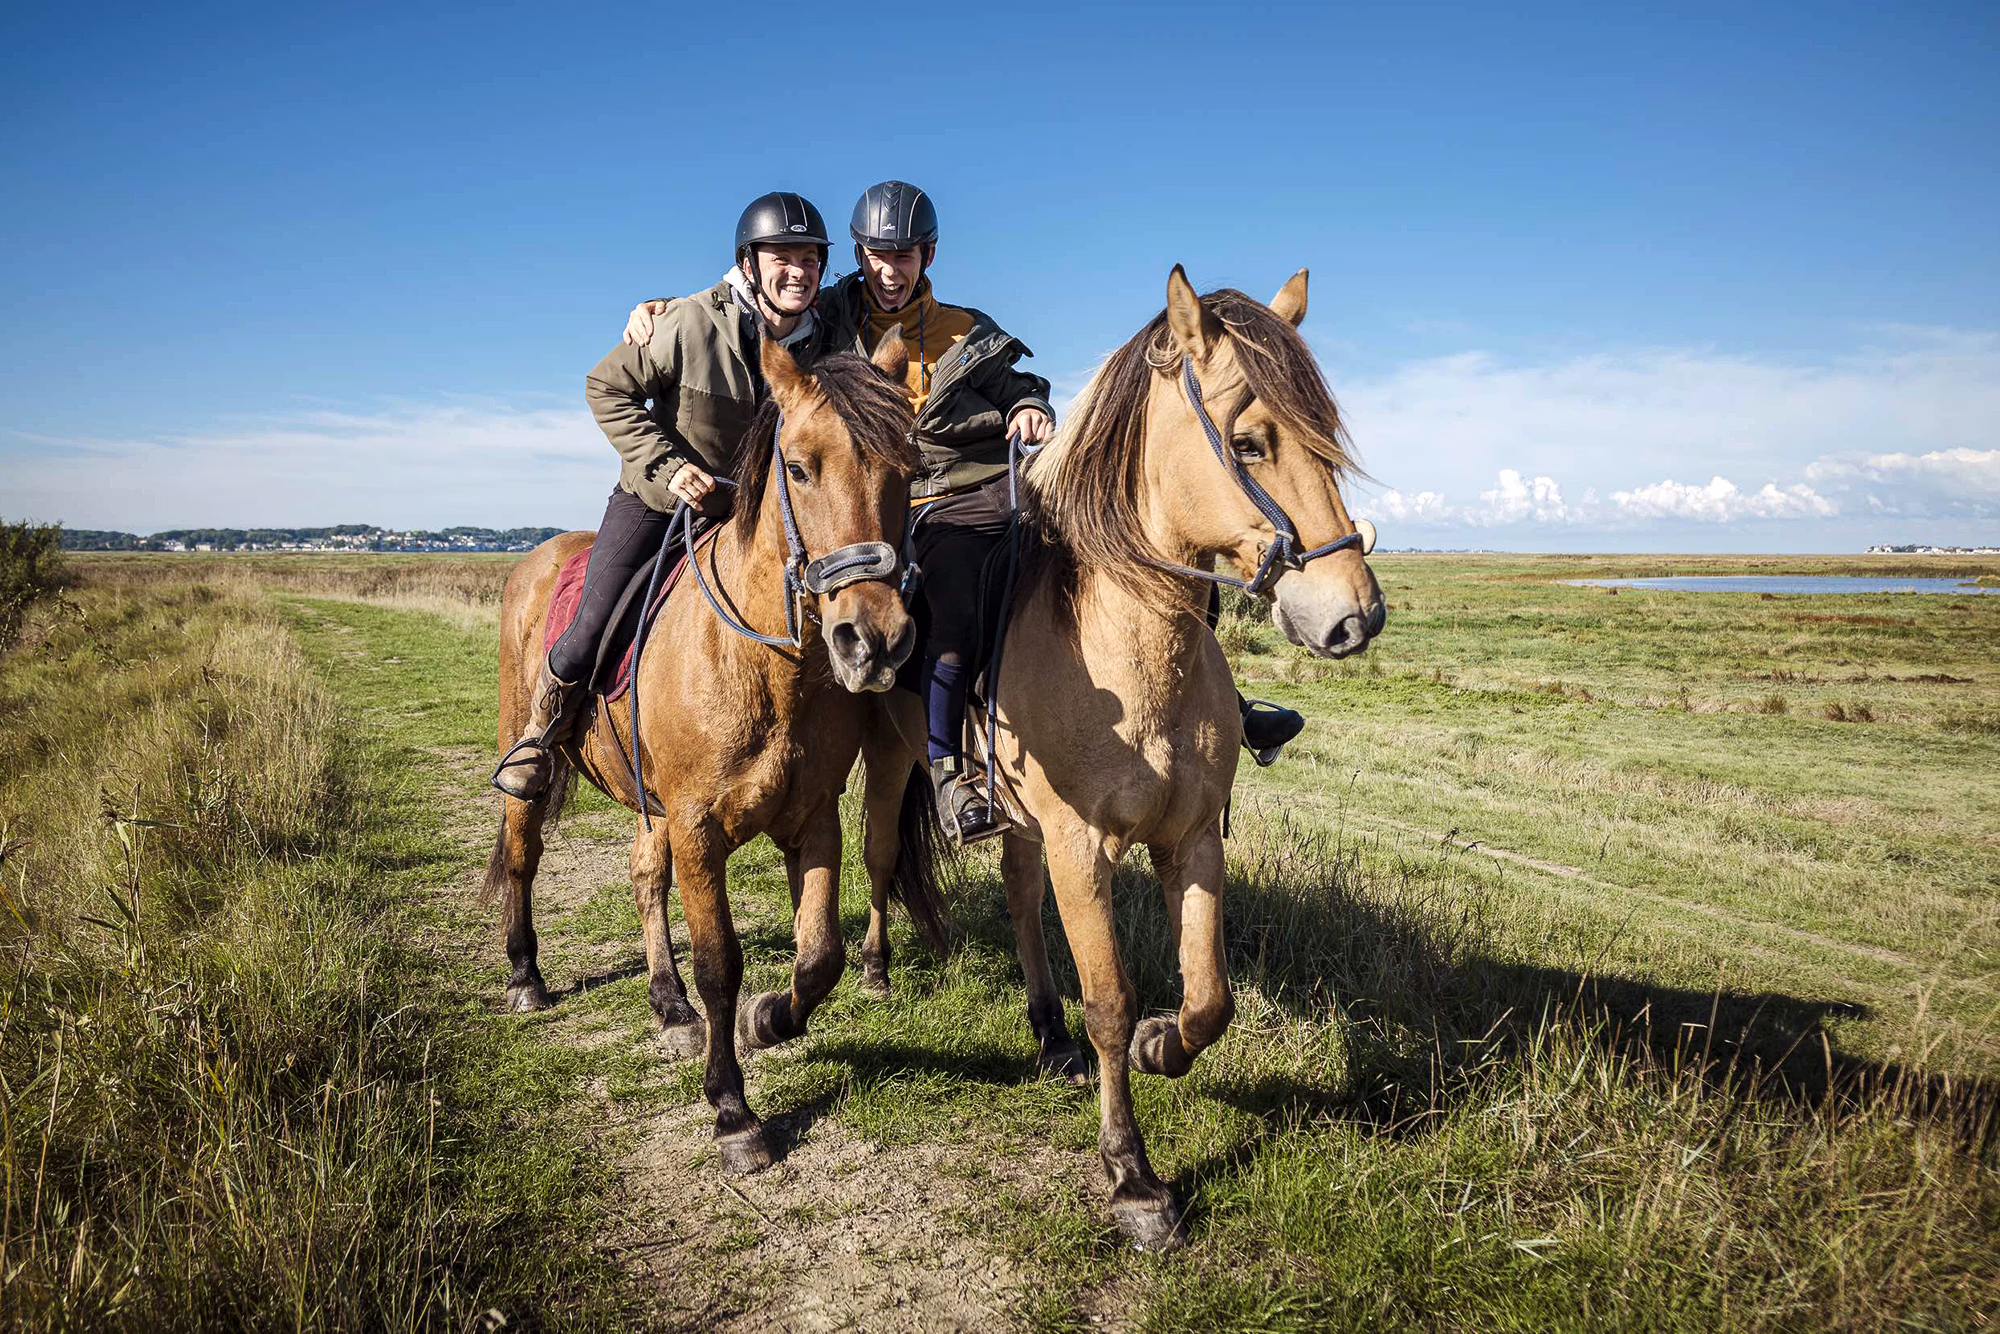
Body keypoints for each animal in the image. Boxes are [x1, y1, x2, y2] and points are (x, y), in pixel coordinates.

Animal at [485, 333, 941, 1172]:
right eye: (800, 467)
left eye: (907, 470)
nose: (876, 640)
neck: (762, 664)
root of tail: (537, 558)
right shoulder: (699, 830)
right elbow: (721, 964)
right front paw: (733, 1110)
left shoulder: (812, 820)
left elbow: (818, 955)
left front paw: (771, 1021)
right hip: (529, 761)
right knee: (525, 856)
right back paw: (526, 975)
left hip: (653, 805)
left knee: (643, 879)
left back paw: (668, 1006)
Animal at [857, 267, 1385, 1248]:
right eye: (1250, 442)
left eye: (1327, 442)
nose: (1353, 617)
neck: (1122, 641)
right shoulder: (1084, 848)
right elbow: (1109, 999)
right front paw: (1133, 1178)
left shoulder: (1193, 842)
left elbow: (1208, 994)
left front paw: (1160, 1044)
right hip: (885, 755)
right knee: (876, 857)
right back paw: (873, 969)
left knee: (1020, 901)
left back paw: (1047, 1033)